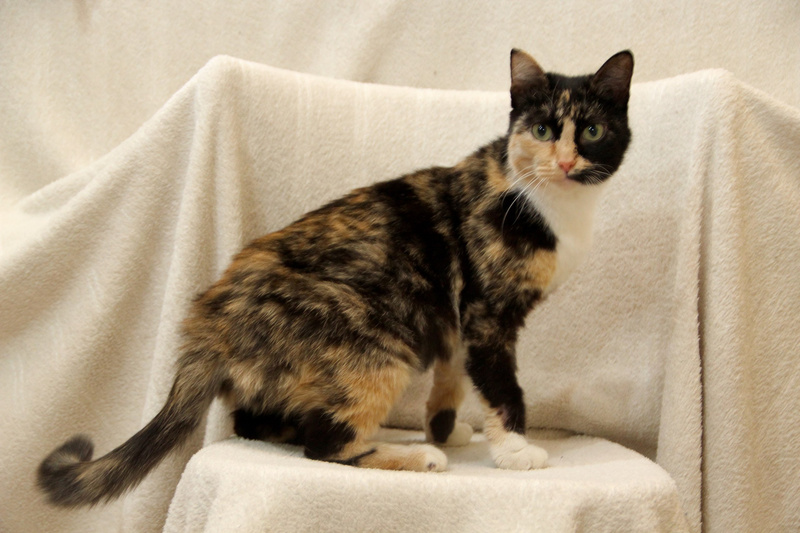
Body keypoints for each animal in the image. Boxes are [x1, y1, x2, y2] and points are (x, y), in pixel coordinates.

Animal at [38, 49, 633, 507]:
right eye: (542, 129)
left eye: (593, 131)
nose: (565, 162)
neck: (549, 204)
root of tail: (207, 321)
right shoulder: (488, 315)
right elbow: (502, 386)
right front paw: (513, 450)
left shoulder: (456, 316)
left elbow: (452, 375)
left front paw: (448, 426)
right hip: (373, 346)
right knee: (325, 446)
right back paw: (415, 455)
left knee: (257, 422)